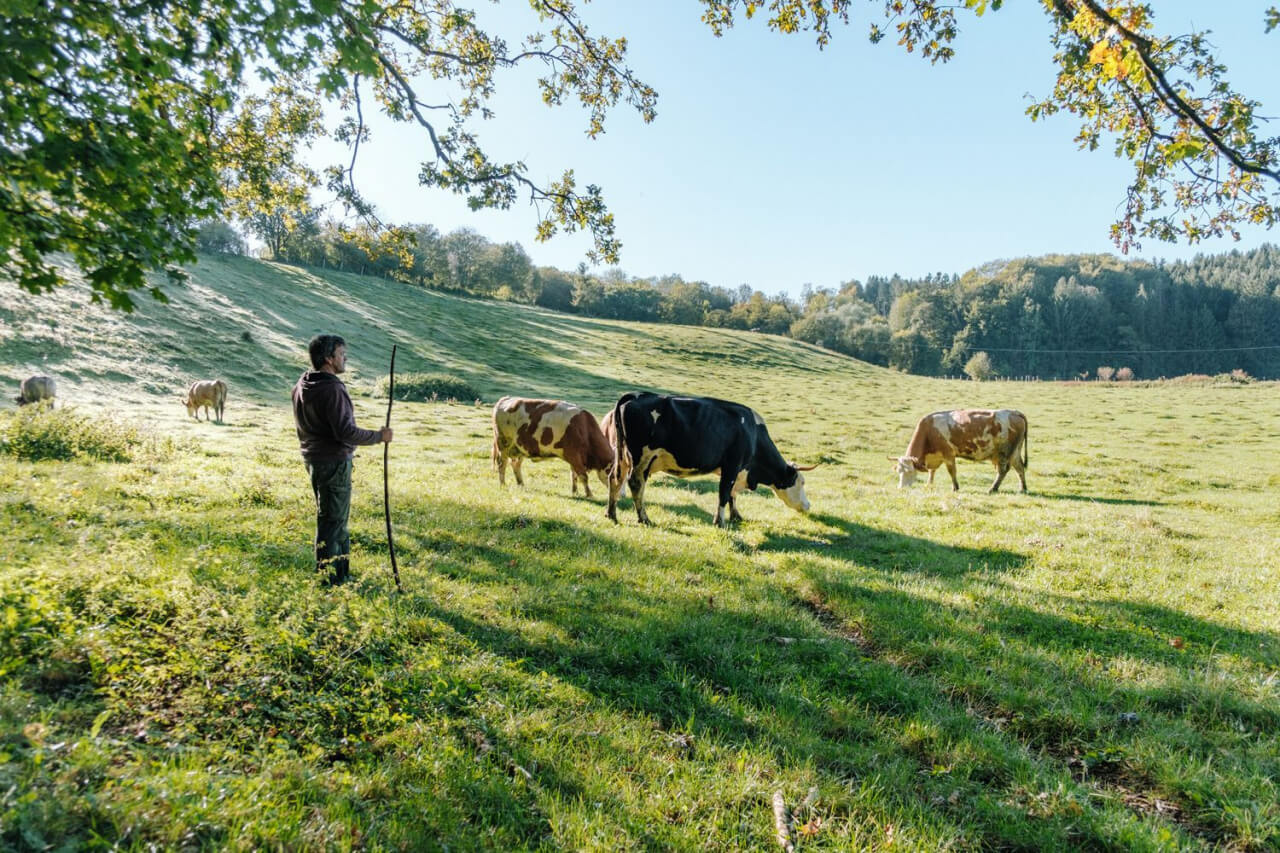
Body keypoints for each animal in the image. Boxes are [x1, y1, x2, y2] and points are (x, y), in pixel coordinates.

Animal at [606, 391, 814, 525]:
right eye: (801, 482)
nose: (808, 505)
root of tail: (637, 395)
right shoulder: (732, 465)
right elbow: (724, 494)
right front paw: (720, 522)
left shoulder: (735, 471)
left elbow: (732, 495)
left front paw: (736, 516)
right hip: (641, 458)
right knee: (635, 484)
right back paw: (644, 518)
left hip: (623, 456)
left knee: (615, 478)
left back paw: (611, 514)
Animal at [890, 409, 1029, 494]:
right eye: (899, 471)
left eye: (910, 472)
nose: (901, 488)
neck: (929, 430)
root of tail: (1014, 412)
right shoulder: (935, 456)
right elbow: (932, 471)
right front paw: (929, 485)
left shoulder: (948, 454)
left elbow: (952, 472)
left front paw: (955, 488)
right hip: (1015, 452)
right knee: (1020, 468)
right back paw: (1023, 489)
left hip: (1004, 453)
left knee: (1003, 471)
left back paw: (992, 489)